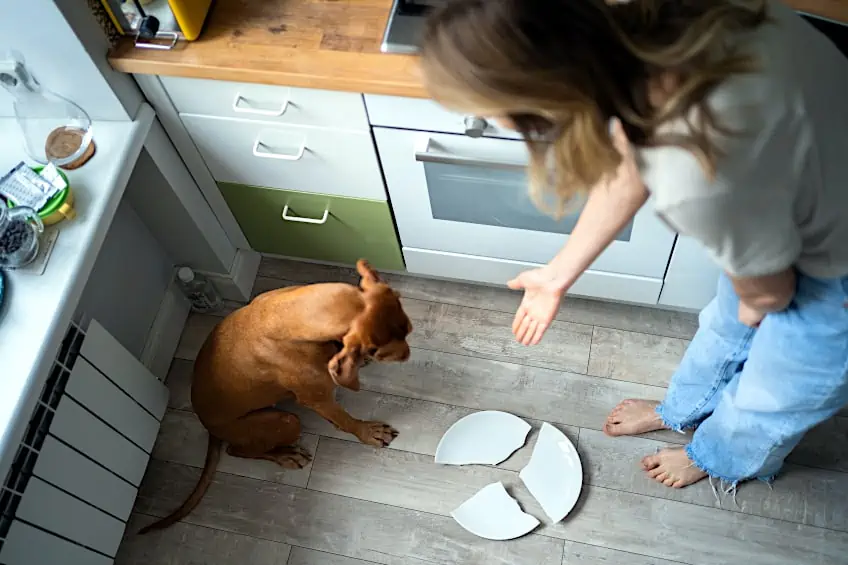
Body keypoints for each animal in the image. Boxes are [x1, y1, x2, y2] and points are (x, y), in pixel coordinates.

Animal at [141, 260, 412, 532]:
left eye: (406, 325)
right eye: (376, 348)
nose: (407, 354)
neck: (287, 317)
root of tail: (206, 424)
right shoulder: (318, 399)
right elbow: (345, 421)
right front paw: (367, 432)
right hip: (285, 421)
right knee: (237, 451)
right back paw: (286, 456)